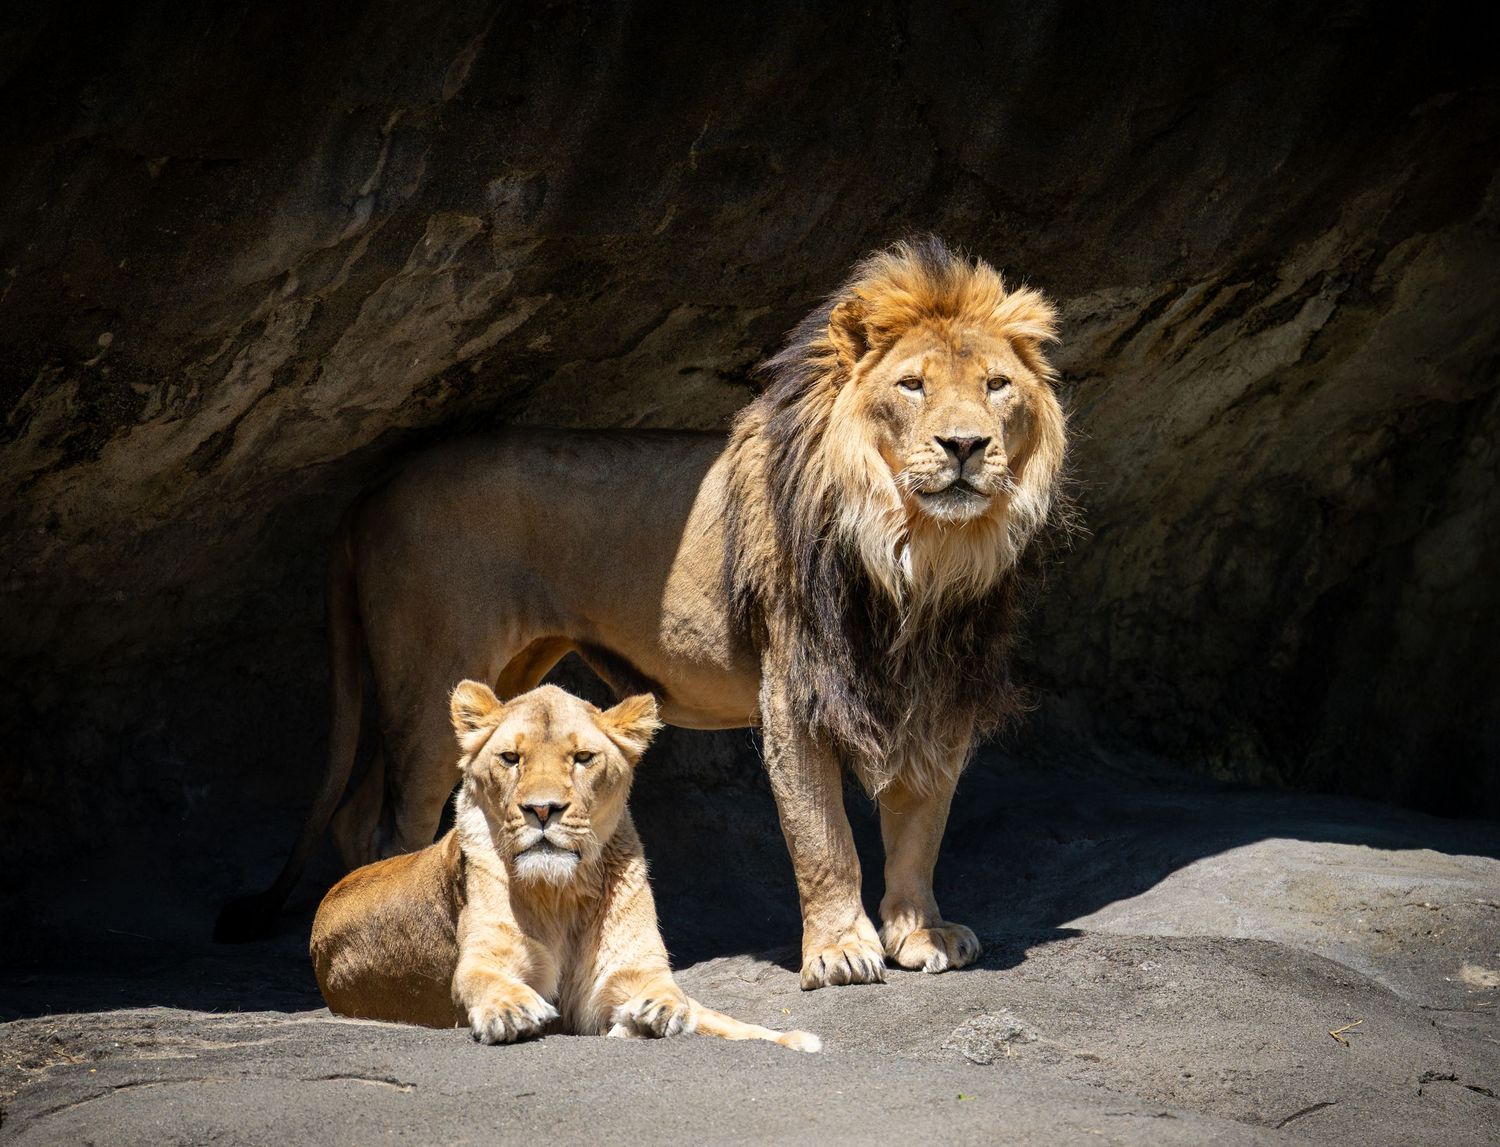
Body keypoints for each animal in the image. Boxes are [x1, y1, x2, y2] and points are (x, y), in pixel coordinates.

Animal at [219, 236, 1067, 992]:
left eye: (997, 384)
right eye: (914, 386)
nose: (965, 445)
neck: (919, 551)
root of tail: (372, 487)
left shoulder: (940, 688)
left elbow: (922, 822)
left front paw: (921, 932)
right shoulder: (793, 690)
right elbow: (822, 833)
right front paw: (839, 952)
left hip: (494, 675)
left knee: (357, 811)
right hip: (433, 682)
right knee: (394, 819)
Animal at [311, 681, 819, 1051]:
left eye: (582, 757)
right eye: (511, 758)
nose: (542, 809)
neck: (561, 893)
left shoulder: (629, 970)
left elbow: (693, 1004)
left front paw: (787, 1037)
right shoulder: (487, 955)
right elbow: (483, 978)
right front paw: (510, 1011)